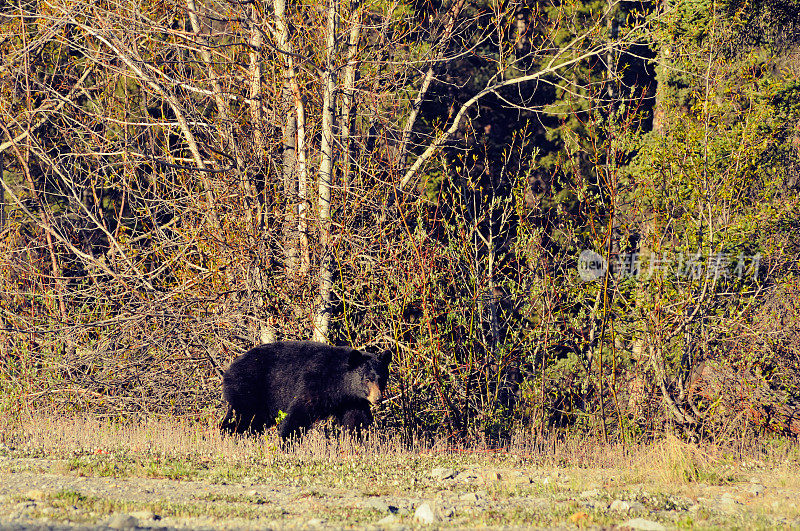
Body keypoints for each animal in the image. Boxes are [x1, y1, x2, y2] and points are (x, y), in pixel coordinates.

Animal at [220, 340, 392, 440]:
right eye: (367, 379)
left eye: (381, 379)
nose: (378, 398)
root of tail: (229, 370)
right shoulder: (315, 382)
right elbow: (300, 412)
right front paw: (287, 440)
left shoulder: (352, 401)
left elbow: (357, 421)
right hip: (249, 388)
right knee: (245, 417)